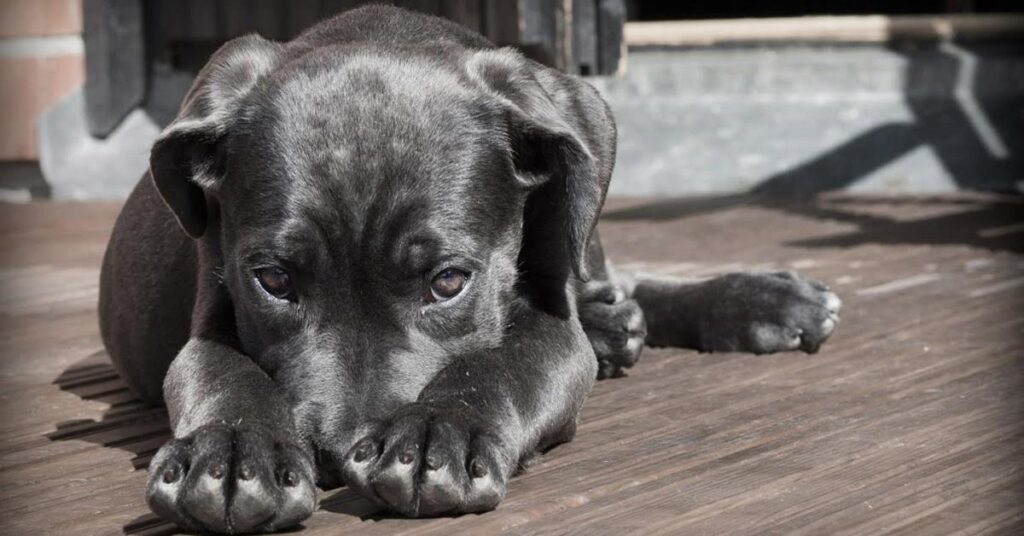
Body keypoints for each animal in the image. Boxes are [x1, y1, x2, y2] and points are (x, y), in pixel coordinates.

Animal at [99, 6, 843, 532]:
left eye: (449, 282)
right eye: (274, 281)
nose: (338, 454)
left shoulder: (550, 325)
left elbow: (502, 362)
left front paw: (439, 432)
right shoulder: (211, 312)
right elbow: (221, 372)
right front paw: (230, 453)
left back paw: (758, 301)